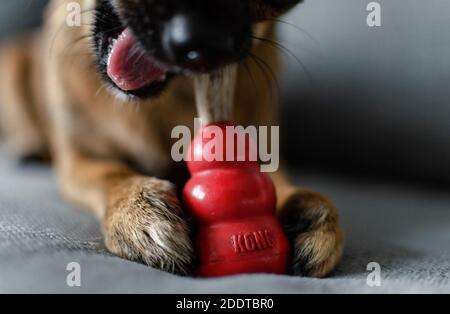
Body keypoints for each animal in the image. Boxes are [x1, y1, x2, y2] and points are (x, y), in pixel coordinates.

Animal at [0, 0, 344, 276]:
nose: (206, 44)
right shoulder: (80, 159)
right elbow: (111, 173)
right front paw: (137, 207)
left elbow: (274, 182)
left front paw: (307, 209)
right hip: (13, 65)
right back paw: (28, 147)